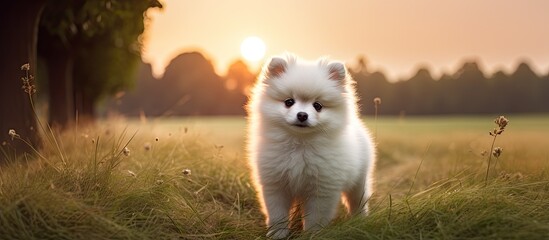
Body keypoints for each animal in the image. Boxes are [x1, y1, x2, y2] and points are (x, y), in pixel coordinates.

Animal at [246, 54, 374, 238]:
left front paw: (312, 234)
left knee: (358, 201)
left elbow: (315, 218)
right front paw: (278, 234)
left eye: (317, 106)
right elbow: (278, 215)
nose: (302, 115)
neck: (300, 144)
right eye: (289, 102)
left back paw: (360, 221)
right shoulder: (276, 185)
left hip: (359, 181)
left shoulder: (321, 189)